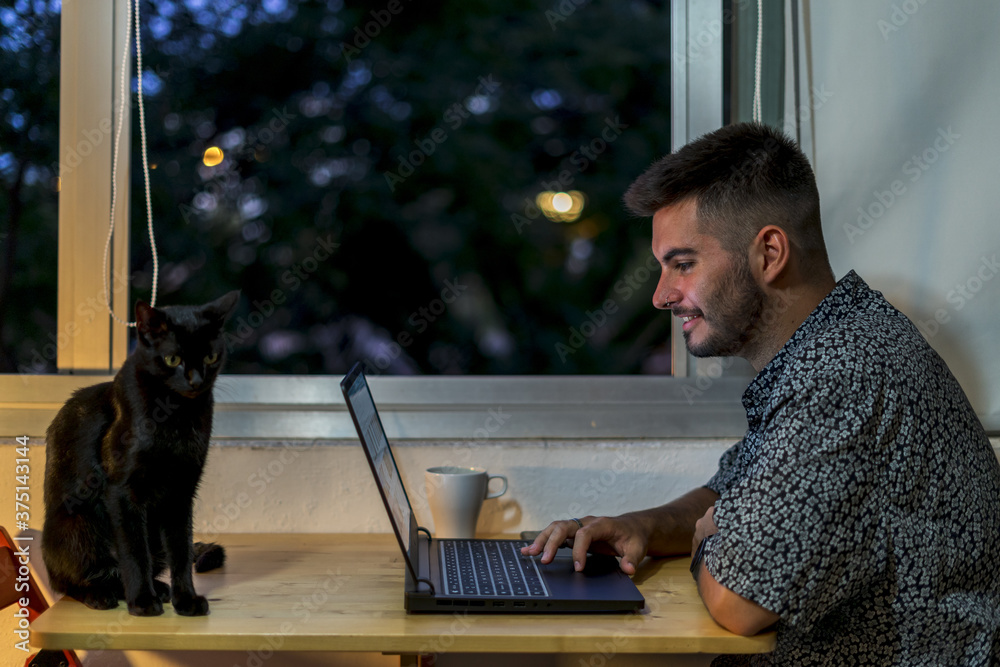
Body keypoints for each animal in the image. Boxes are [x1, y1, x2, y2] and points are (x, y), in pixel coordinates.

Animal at [42, 292, 241, 616]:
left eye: (210, 357)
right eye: (173, 359)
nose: (196, 381)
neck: (176, 415)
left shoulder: (181, 492)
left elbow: (181, 550)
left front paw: (185, 600)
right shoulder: (122, 492)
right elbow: (135, 552)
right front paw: (143, 602)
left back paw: (159, 588)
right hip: (76, 521)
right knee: (70, 580)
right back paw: (102, 595)